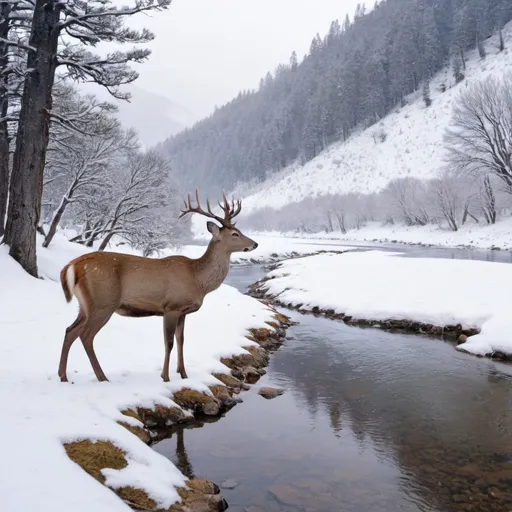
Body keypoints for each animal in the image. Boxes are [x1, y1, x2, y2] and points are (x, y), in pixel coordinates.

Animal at [58, 190, 258, 382]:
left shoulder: (183, 311)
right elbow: (168, 342)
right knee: (86, 335)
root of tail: (72, 265)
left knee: (70, 330)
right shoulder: (171, 306)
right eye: (235, 234)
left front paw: (183, 374)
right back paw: (102, 377)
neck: (198, 280)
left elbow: (181, 340)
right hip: (103, 301)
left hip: (86, 304)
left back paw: (63, 376)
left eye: (238, 230)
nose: (255, 244)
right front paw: (166, 377)